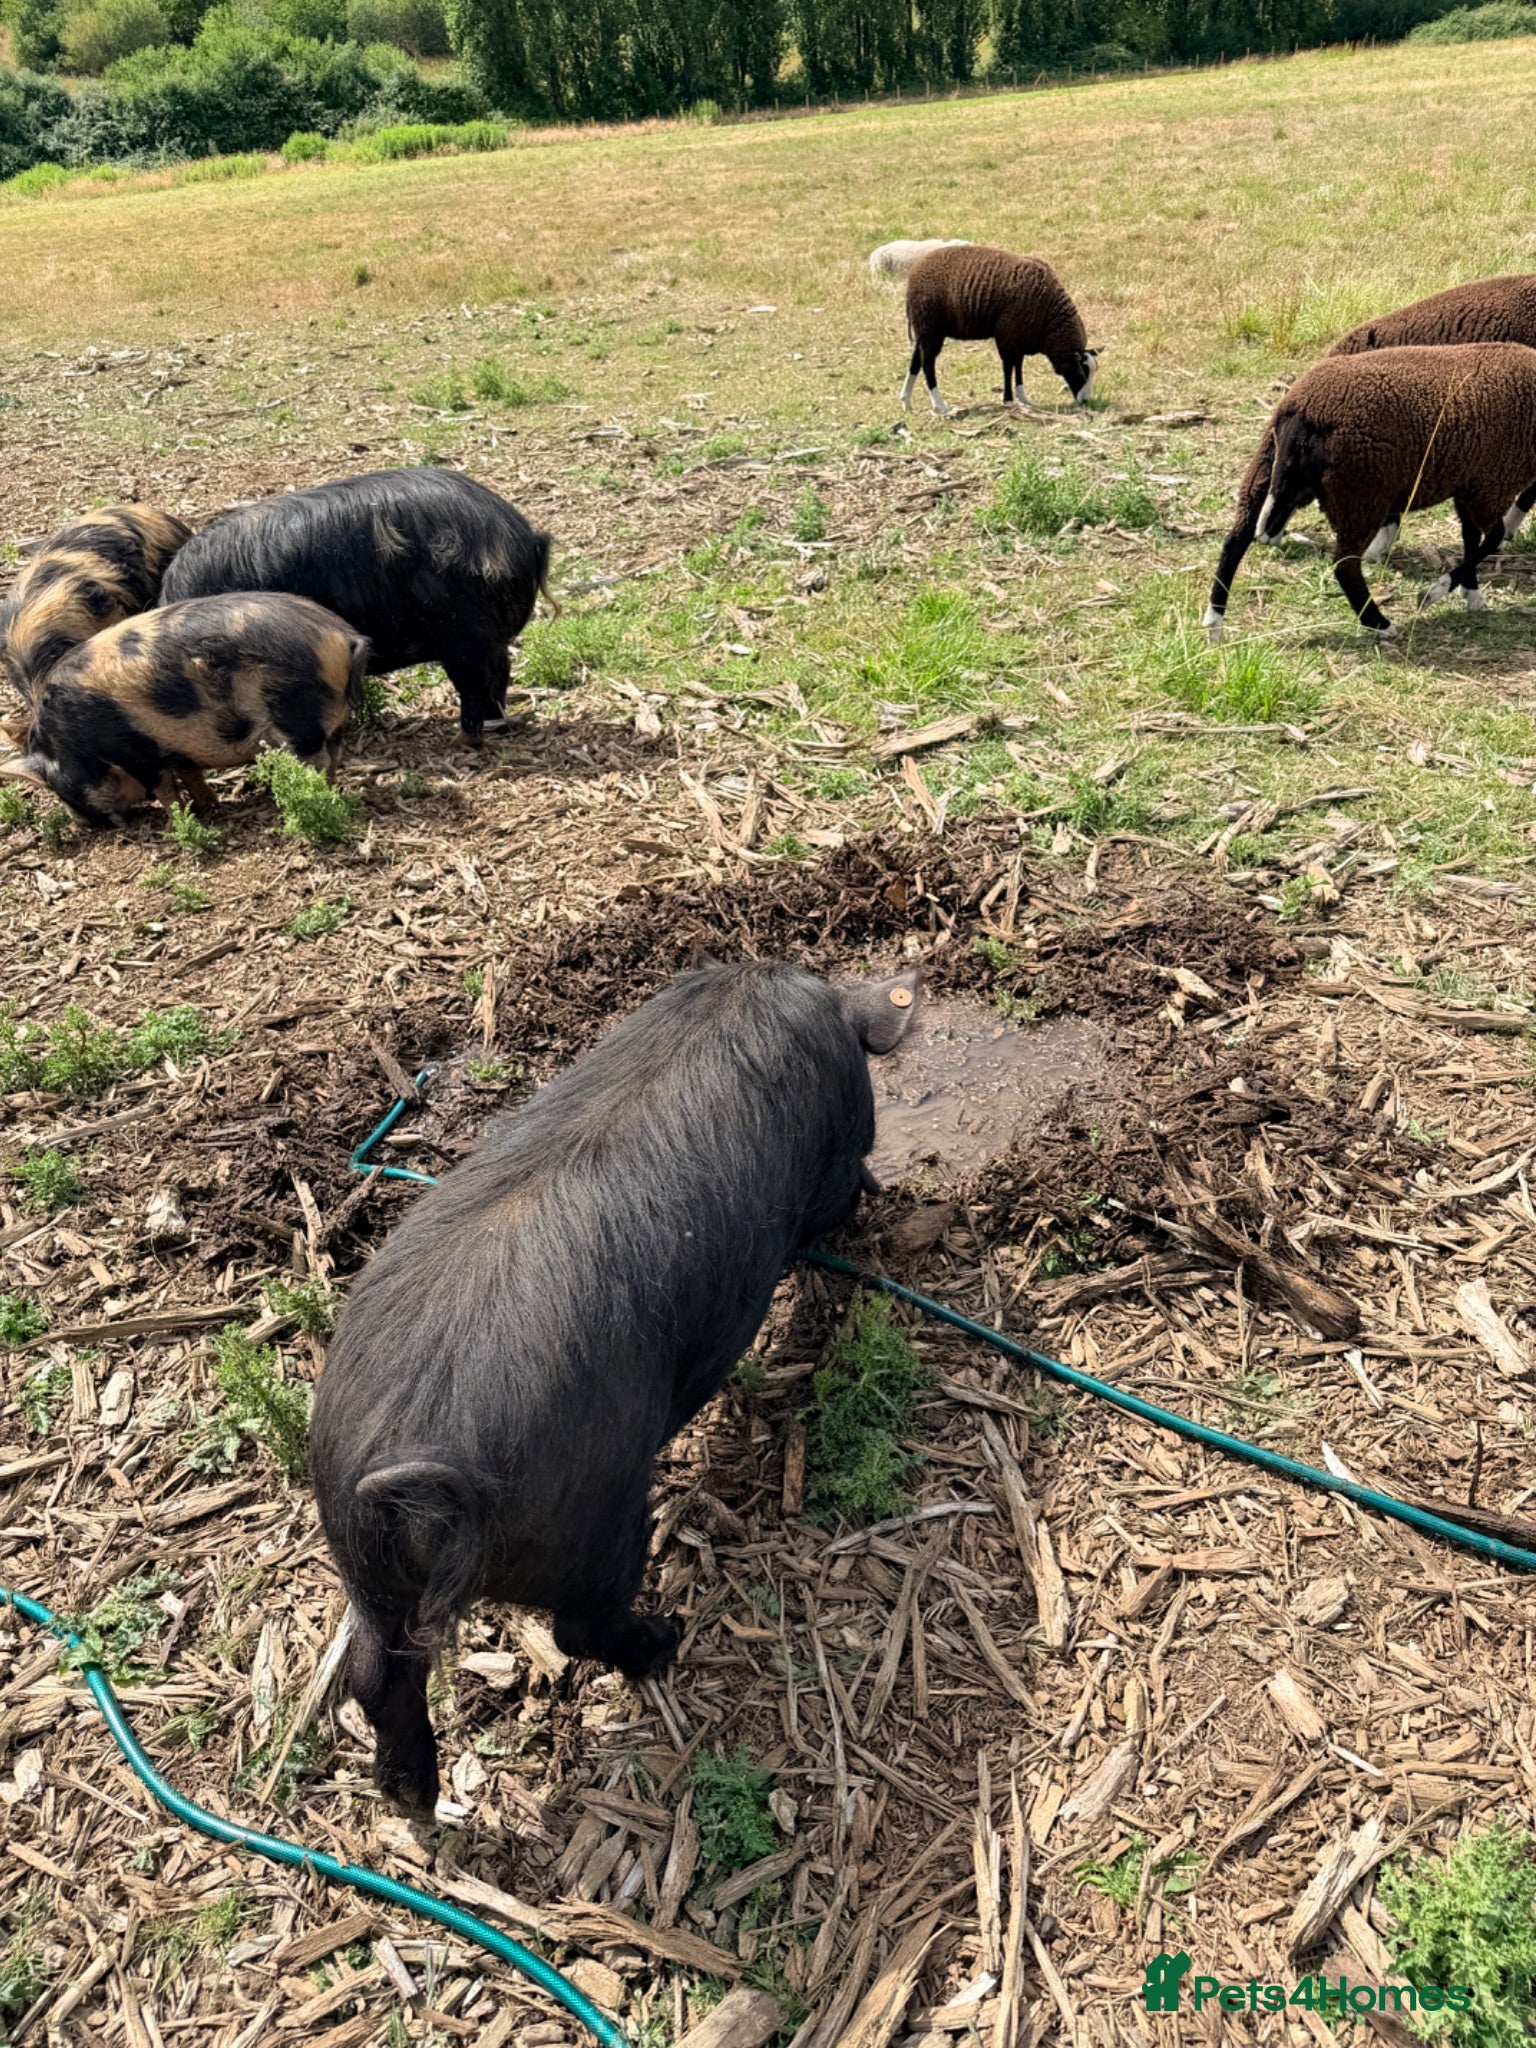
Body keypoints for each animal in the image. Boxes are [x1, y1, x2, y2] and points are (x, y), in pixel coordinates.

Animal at [0, 593, 368, 826]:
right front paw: (208, 807)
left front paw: (176, 823)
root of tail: (342, 636)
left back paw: (314, 794)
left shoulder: (136, 750)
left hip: (297, 717)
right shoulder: (177, 747)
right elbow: (191, 774)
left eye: (56, 784)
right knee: (335, 753)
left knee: (317, 759)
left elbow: (163, 787)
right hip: (331, 718)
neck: (72, 741)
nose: (80, 823)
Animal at [158, 468, 553, 744]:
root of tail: (523, 537)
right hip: (482, 640)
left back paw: (464, 738)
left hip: (466, 638)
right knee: (500, 675)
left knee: (478, 682)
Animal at [310, 957, 921, 1818]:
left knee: (375, 1672)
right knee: (578, 1630)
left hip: (365, 1567)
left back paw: (412, 1801)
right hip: (600, 1516)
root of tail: (408, 1469)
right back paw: (666, 1639)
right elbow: (840, 1192)